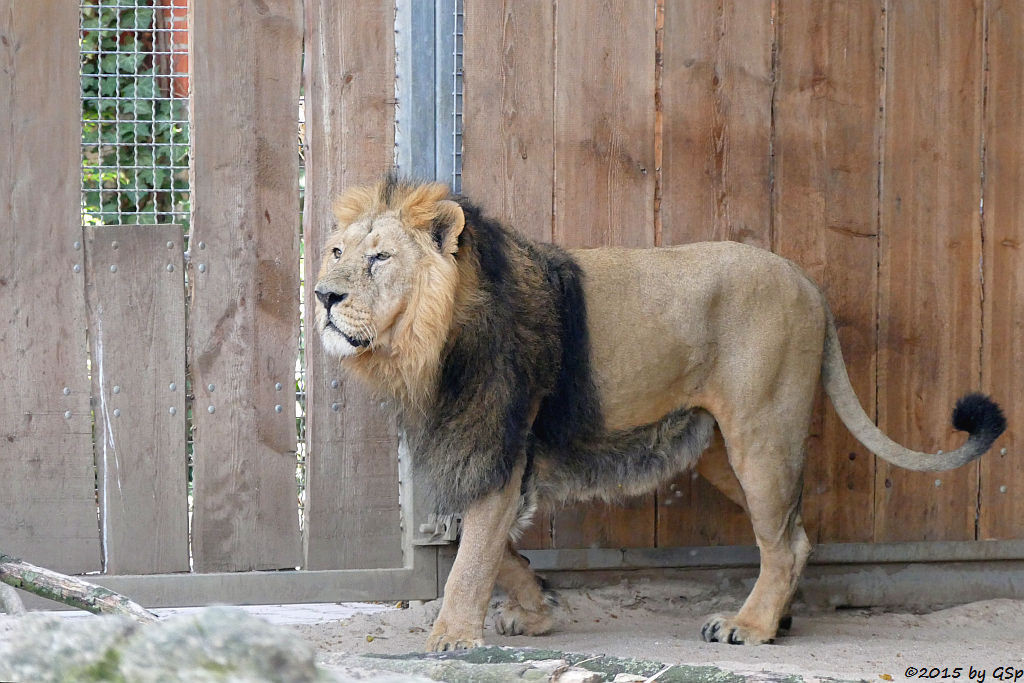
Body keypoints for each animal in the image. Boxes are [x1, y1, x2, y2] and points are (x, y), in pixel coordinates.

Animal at [313, 176, 1007, 651]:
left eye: (379, 258)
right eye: (336, 253)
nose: (322, 296)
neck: (427, 344)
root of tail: (808, 282)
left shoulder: (497, 443)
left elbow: (473, 552)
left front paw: (453, 637)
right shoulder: (484, 449)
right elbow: (487, 543)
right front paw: (536, 611)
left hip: (762, 433)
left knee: (785, 541)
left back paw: (748, 626)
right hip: (724, 449)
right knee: (794, 531)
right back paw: (777, 618)